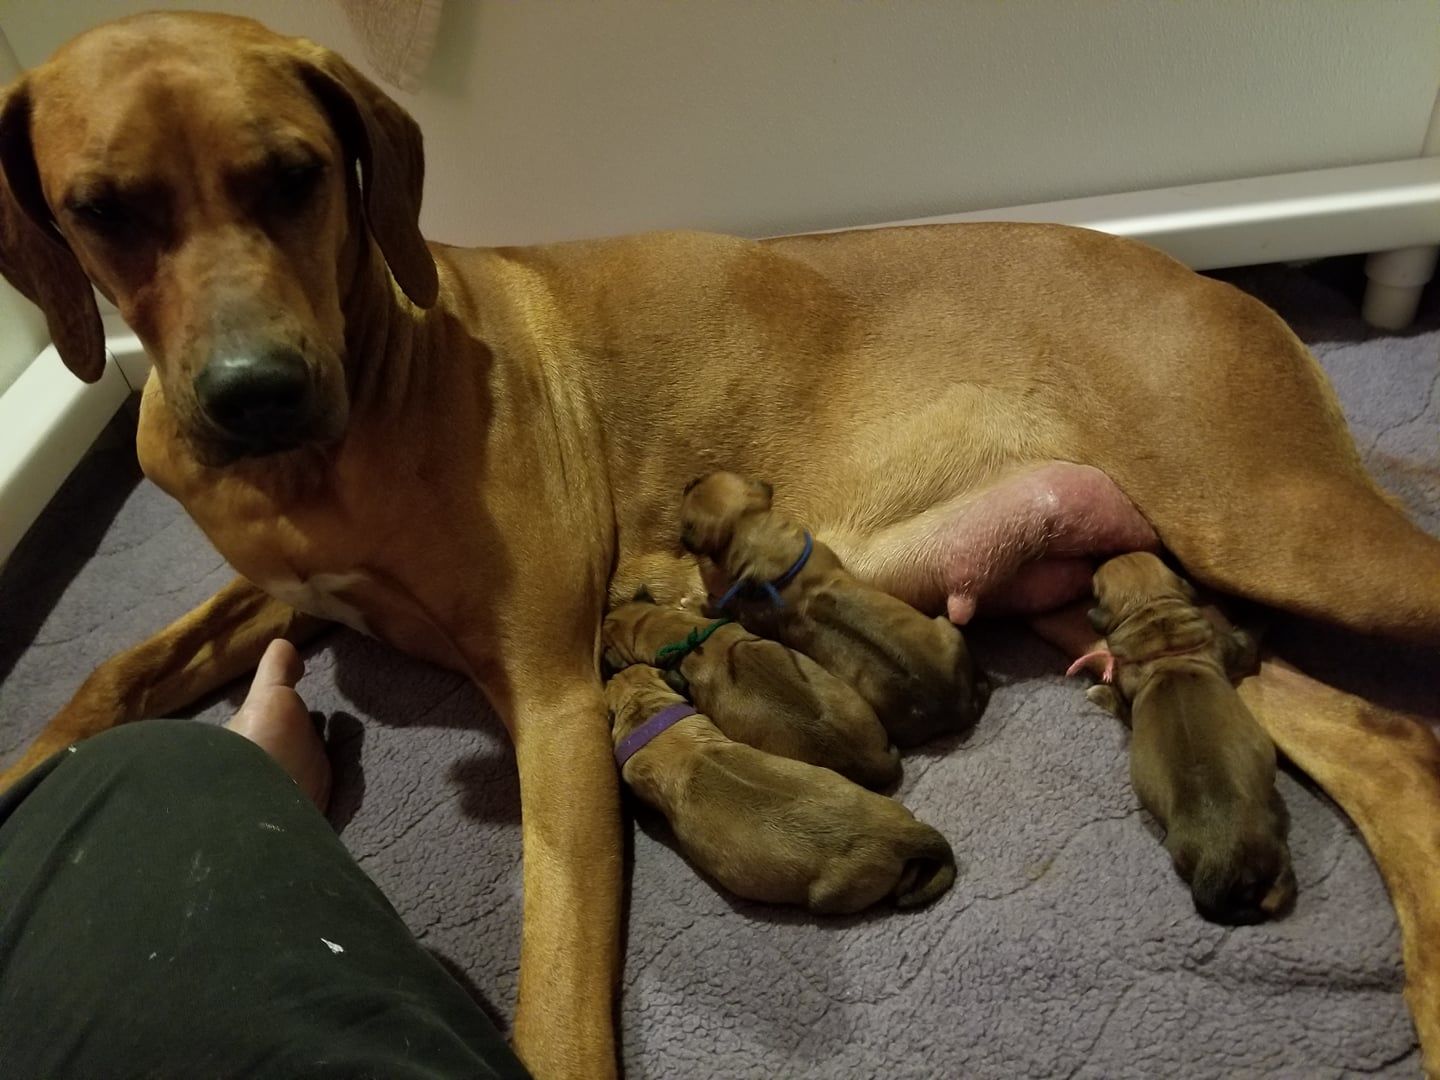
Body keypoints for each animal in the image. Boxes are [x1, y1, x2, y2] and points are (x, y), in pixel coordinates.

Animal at [1074, 553, 1296, 924]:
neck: (1166, 649)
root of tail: (1220, 857)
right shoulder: (1234, 647)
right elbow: (1249, 636)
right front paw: (1264, 612)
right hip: (1269, 845)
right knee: (1277, 890)